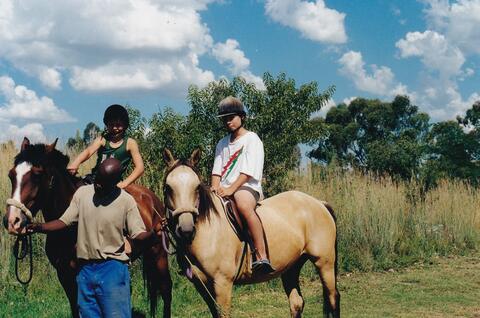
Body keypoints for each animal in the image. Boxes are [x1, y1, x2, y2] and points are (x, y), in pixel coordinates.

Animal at [3, 139, 172, 318]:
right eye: (11, 175)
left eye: (37, 175)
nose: (12, 221)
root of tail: (152, 198)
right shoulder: (64, 275)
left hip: (159, 253)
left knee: (166, 289)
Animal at [163, 150, 340, 318]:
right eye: (168, 187)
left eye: (197, 187)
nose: (186, 230)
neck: (209, 231)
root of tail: (319, 203)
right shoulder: (202, 286)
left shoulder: (222, 283)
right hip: (292, 266)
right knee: (296, 303)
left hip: (324, 262)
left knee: (333, 298)